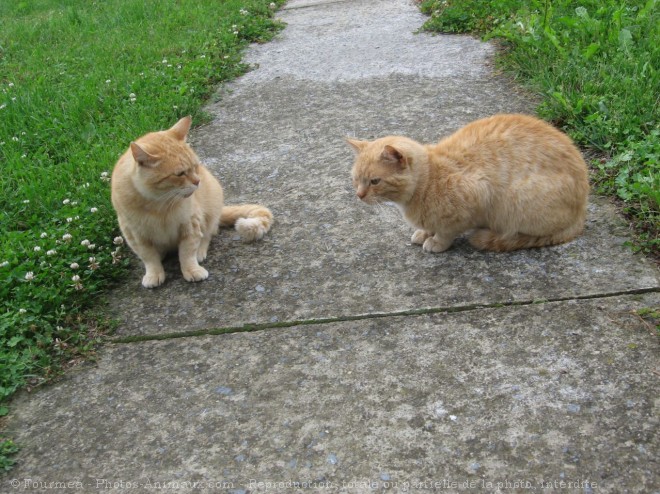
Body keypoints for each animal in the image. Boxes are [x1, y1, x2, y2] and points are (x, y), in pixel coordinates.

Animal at [112, 116, 272, 288]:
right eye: (180, 174)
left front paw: (192, 269)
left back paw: (200, 251)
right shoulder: (134, 234)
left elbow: (187, 253)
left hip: (210, 210)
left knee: (208, 234)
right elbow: (149, 257)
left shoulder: (190, 224)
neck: (159, 204)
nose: (197, 181)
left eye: (195, 166)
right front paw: (154, 273)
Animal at [348, 114, 592, 253]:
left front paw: (436, 242)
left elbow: (447, 230)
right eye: (356, 179)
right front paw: (425, 232)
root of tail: (582, 210)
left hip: (519, 203)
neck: (429, 181)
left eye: (374, 181)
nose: (359, 195)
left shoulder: (477, 195)